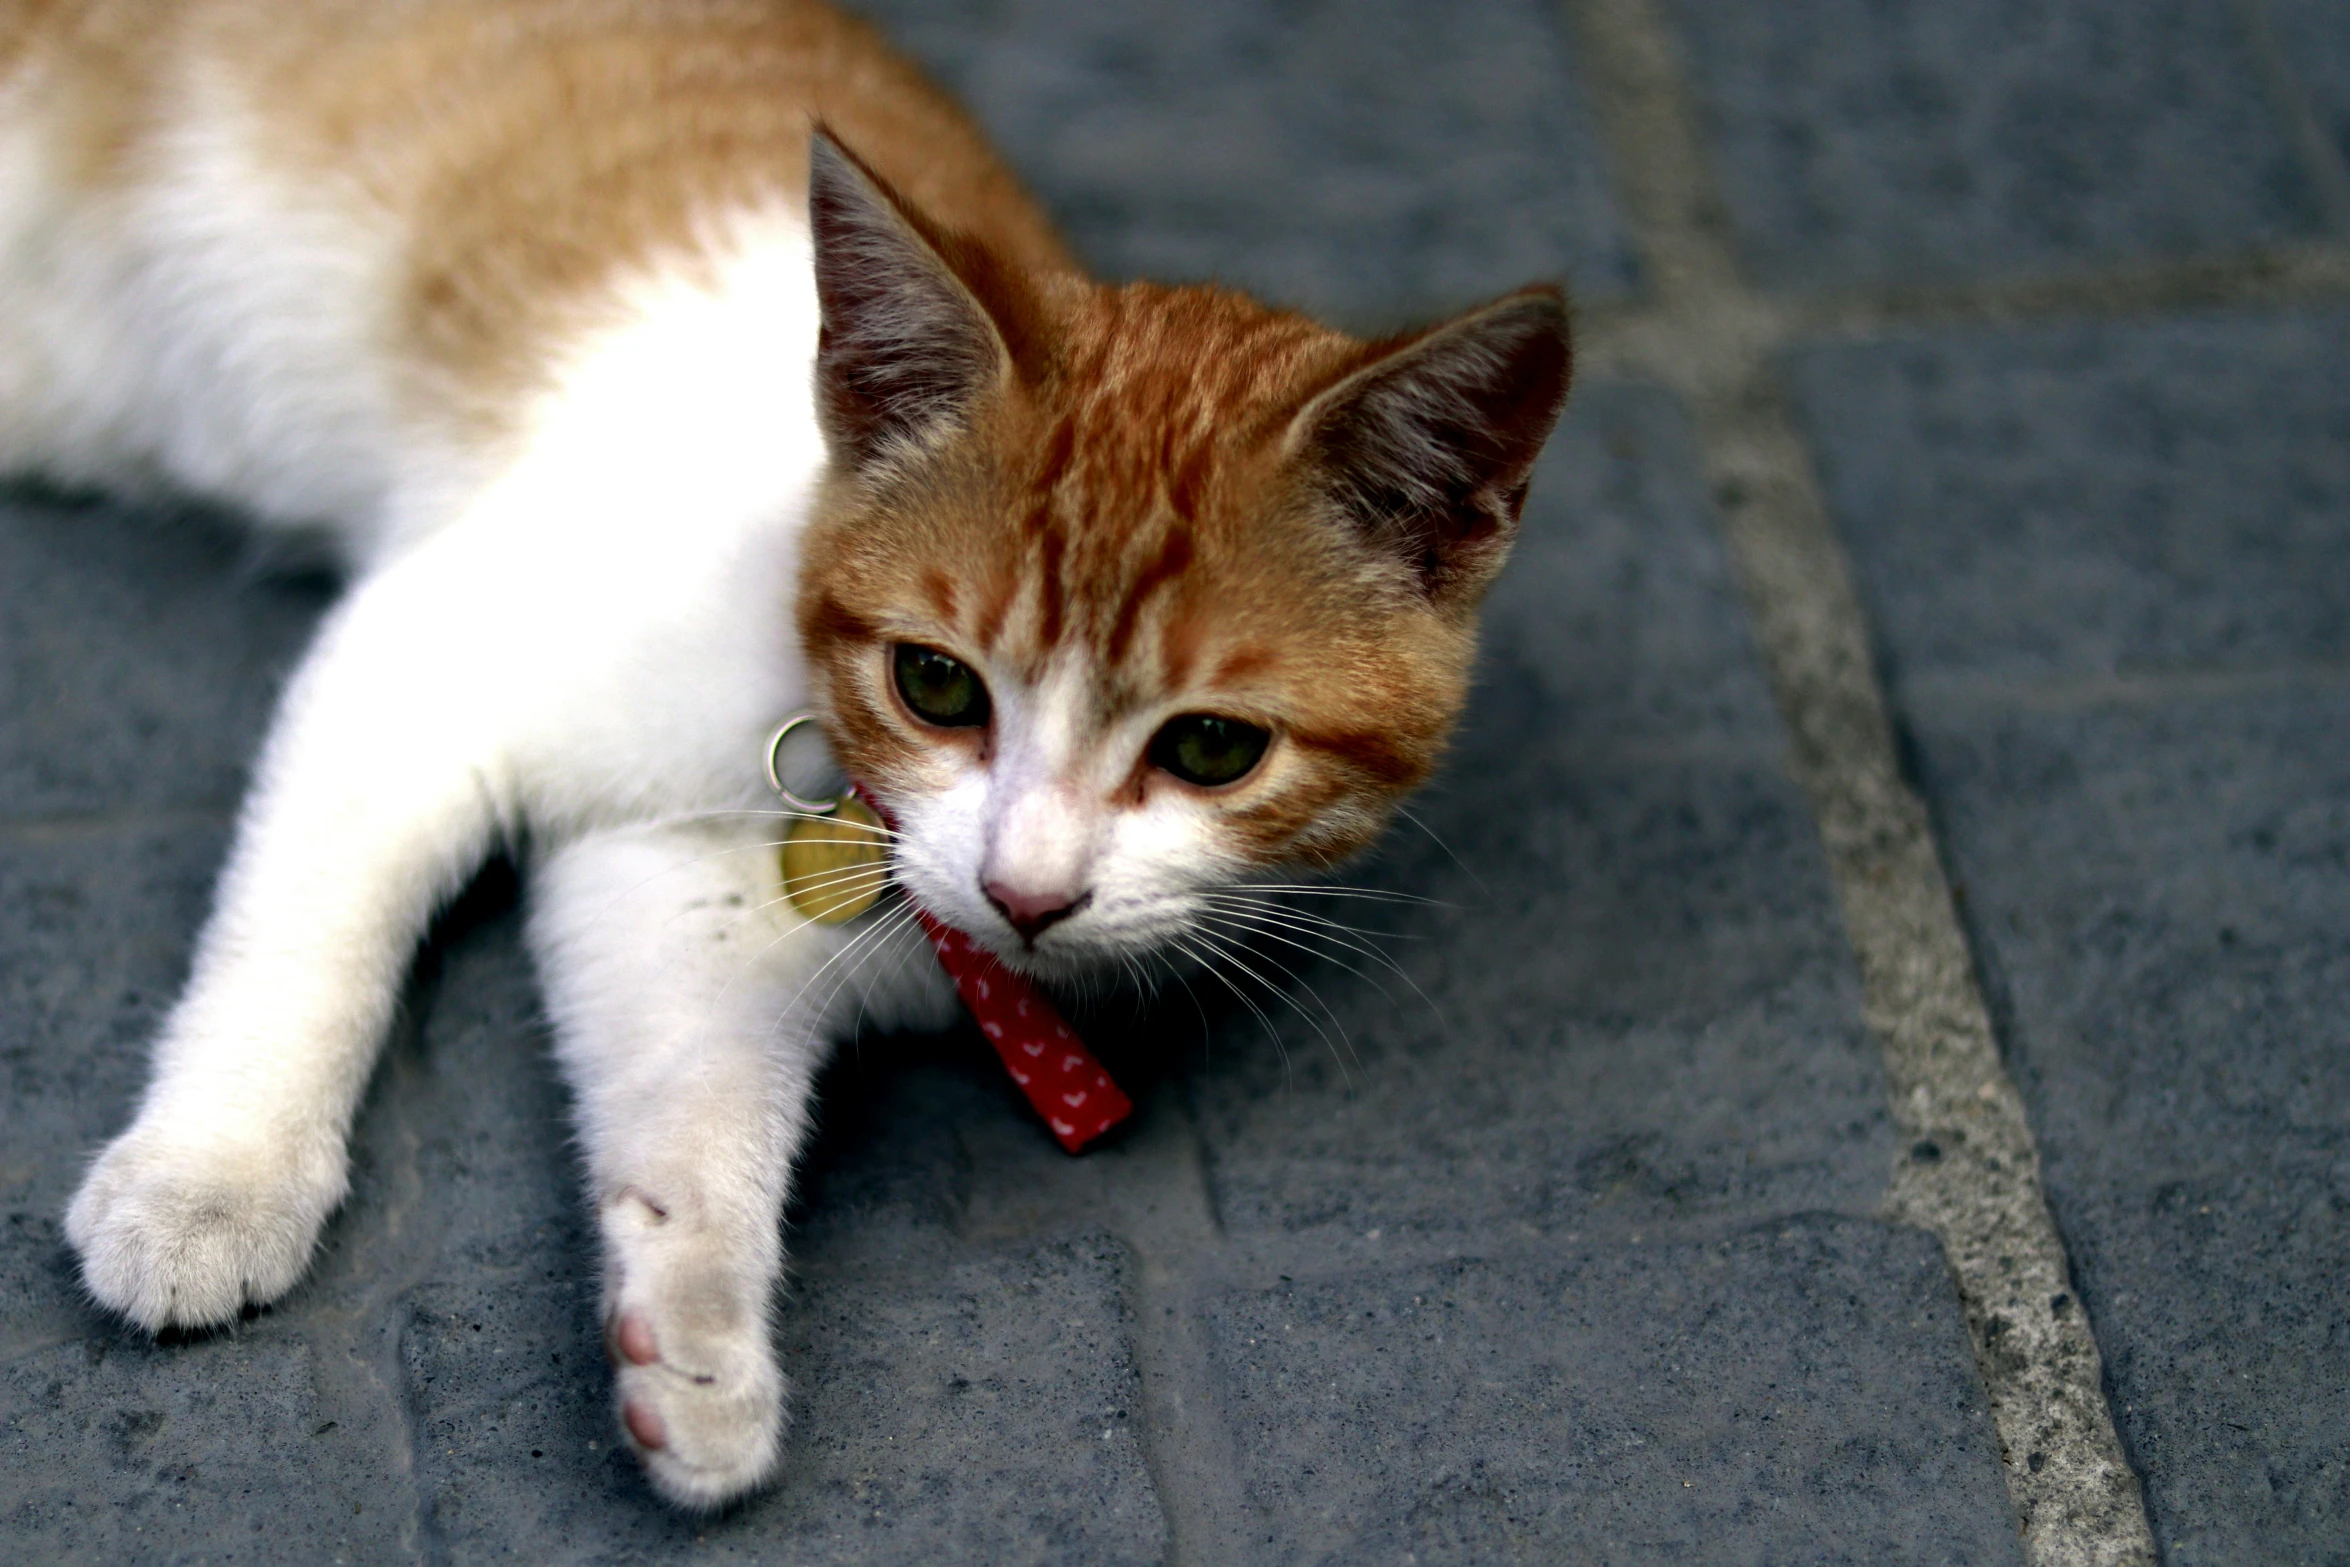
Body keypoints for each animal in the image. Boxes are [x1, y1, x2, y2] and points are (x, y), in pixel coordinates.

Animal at [4, 0, 1579, 1512]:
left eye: (1209, 745)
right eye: (935, 681)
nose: (1025, 895)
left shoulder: (674, 888)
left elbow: (694, 1089)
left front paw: (690, 1330)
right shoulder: (422, 653)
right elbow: (304, 942)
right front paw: (211, 1178)